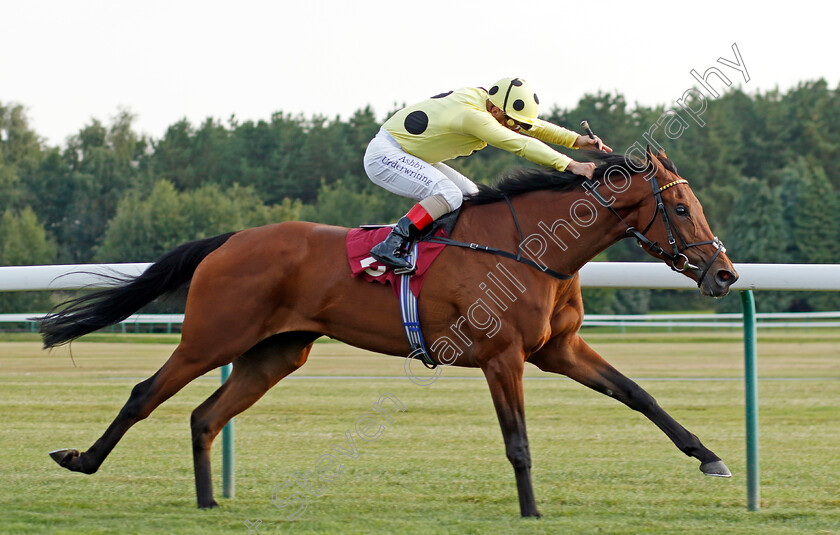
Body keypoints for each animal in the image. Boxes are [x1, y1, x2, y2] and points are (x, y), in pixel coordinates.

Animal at [41, 148, 736, 520]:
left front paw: (710, 457)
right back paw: (81, 459)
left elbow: (639, 394)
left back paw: (210, 504)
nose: (725, 273)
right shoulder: (502, 356)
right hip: (212, 337)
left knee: (204, 416)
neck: (530, 248)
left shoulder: (557, 350)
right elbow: (518, 442)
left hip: (275, 354)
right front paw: (532, 509)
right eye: (680, 208)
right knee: (144, 393)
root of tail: (230, 239)